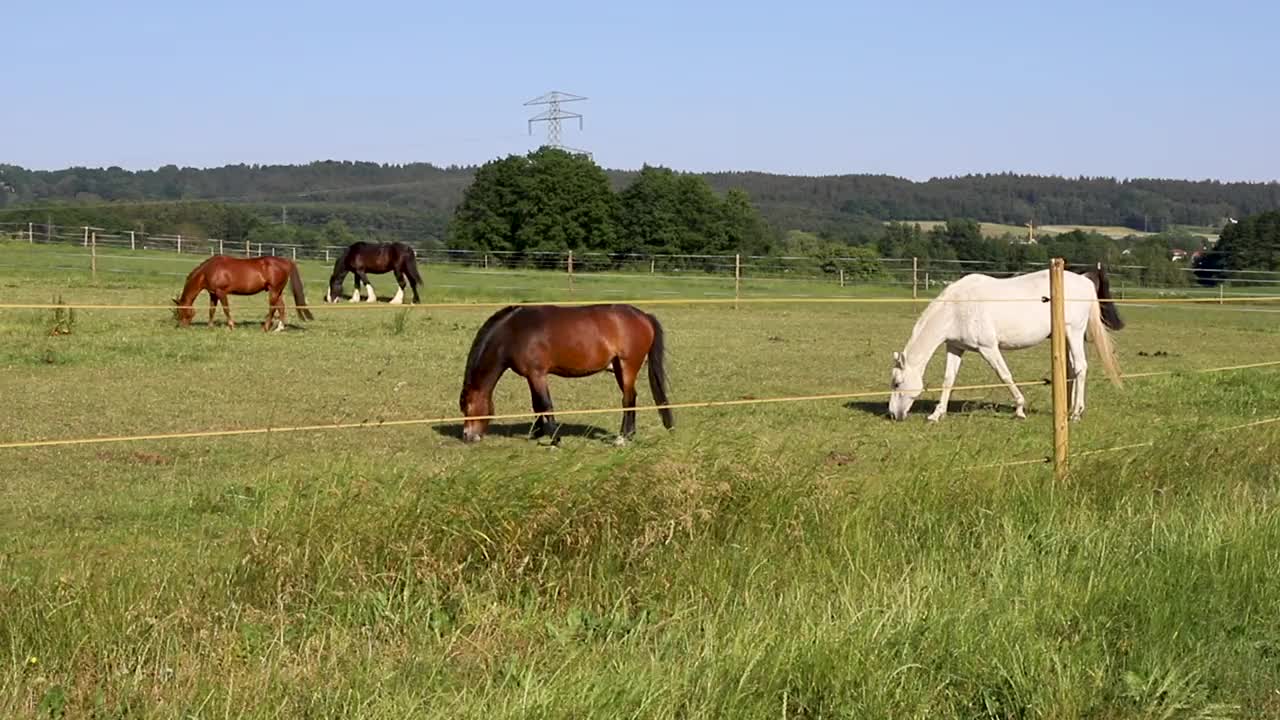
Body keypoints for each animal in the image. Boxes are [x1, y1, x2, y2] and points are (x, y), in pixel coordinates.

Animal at [172, 253, 314, 330]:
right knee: (281, 307)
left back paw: (266, 327)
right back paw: (279, 328)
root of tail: (286, 262)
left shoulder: (221, 292)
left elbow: (226, 309)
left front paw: (231, 325)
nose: (182, 326)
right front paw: (210, 326)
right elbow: (211, 310)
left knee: (273, 308)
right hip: (277, 291)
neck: (209, 270)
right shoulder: (213, 294)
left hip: (273, 290)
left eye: (179, 311)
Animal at [463, 302, 680, 443]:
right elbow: (537, 405)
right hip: (619, 368)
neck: (515, 332)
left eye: (467, 406)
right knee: (632, 397)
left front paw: (555, 440)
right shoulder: (532, 376)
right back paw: (629, 435)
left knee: (627, 399)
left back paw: (621, 438)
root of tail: (644, 316)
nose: (467, 436)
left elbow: (546, 404)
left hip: (628, 366)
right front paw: (537, 433)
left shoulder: (538, 374)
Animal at [890, 263, 1121, 420]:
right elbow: (949, 380)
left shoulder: (988, 348)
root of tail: (1086, 281)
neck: (957, 306)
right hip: (1065, 336)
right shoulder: (955, 347)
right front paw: (937, 414)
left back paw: (1076, 413)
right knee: (1072, 369)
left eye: (897, 383)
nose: (893, 414)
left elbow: (1004, 375)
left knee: (1081, 367)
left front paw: (1019, 409)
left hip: (1074, 332)